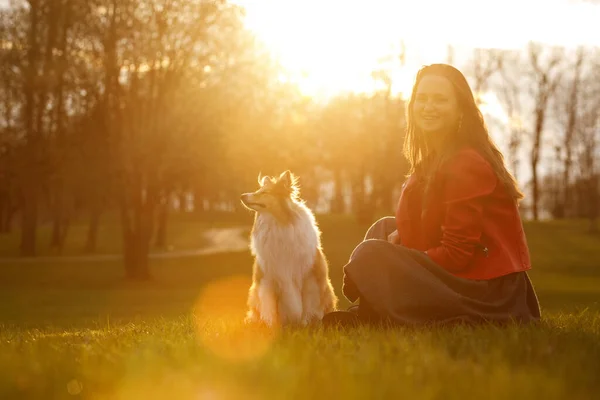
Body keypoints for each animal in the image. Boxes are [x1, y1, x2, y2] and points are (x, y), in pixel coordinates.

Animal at [239, 170, 338, 326]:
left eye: (264, 192)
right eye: (258, 190)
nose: (242, 196)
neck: (278, 223)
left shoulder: (309, 276)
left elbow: (308, 304)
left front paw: (306, 324)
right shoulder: (267, 276)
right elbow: (268, 305)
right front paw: (270, 326)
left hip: (327, 290)